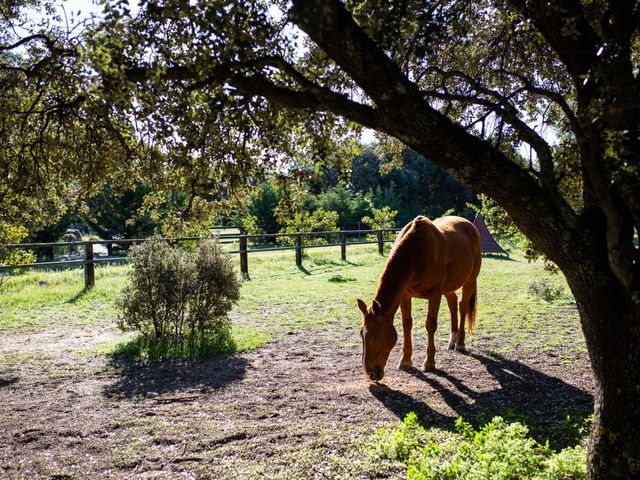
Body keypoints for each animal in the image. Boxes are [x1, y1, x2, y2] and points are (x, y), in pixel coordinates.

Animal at [356, 216, 480, 380]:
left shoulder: (435, 294)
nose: (370, 374)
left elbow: (430, 325)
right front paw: (405, 360)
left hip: (470, 281)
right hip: (448, 287)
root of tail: (470, 226)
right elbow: (407, 324)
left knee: (463, 306)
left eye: (375, 336)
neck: (417, 254)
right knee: (453, 303)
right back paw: (452, 340)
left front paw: (429, 362)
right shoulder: (404, 295)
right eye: (361, 334)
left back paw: (460, 343)